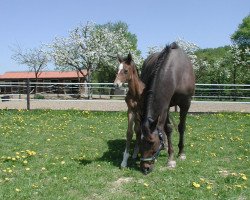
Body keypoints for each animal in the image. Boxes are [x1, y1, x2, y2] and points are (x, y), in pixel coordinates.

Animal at [140, 42, 194, 175]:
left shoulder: (186, 103)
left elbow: (181, 127)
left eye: (152, 142)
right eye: (140, 141)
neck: (177, 72)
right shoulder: (167, 104)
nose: (145, 168)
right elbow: (168, 128)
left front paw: (180, 154)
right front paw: (171, 157)